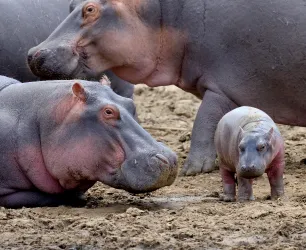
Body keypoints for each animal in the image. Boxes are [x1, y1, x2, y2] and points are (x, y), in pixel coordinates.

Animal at [27, 0, 306, 176]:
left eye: (90, 9)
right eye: (70, 4)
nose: (33, 53)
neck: (162, 15)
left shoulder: (221, 87)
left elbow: (203, 123)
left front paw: (192, 169)